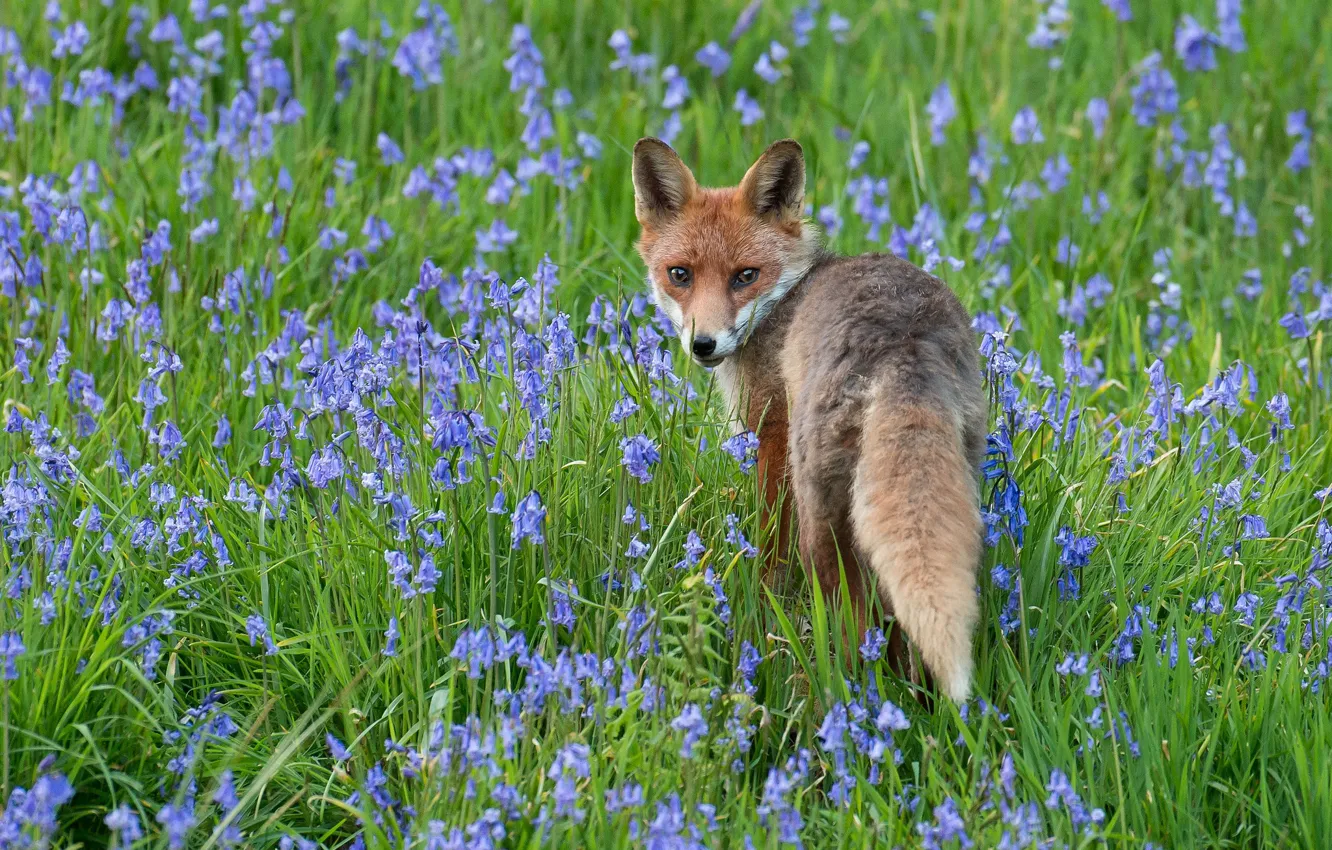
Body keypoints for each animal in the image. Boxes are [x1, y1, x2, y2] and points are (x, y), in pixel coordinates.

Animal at [631, 137, 986, 702]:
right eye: (680, 274)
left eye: (746, 276)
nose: (704, 344)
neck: (785, 303)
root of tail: (901, 343)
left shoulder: (772, 438)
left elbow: (767, 554)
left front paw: (758, 607)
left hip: (821, 519)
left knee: (856, 626)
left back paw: (845, 694)